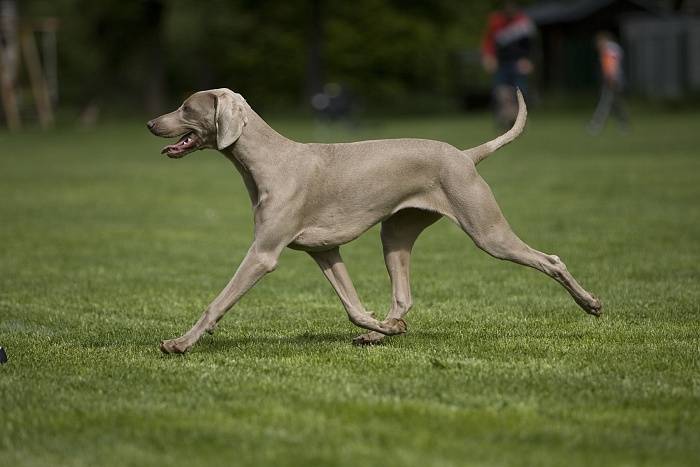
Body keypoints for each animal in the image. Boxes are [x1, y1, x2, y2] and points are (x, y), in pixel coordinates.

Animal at [148, 88, 600, 354]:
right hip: (395, 233)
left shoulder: (263, 253)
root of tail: (465, 155)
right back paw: (382, 330)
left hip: (486, 231)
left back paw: (591, 303)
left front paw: (180, 342)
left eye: (186, 107)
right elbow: (351, 305)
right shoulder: (325, 250)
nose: (151, 123)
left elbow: (217, 302)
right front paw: (380, 327)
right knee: (403, 296)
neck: (268, 161)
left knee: (551, 260)